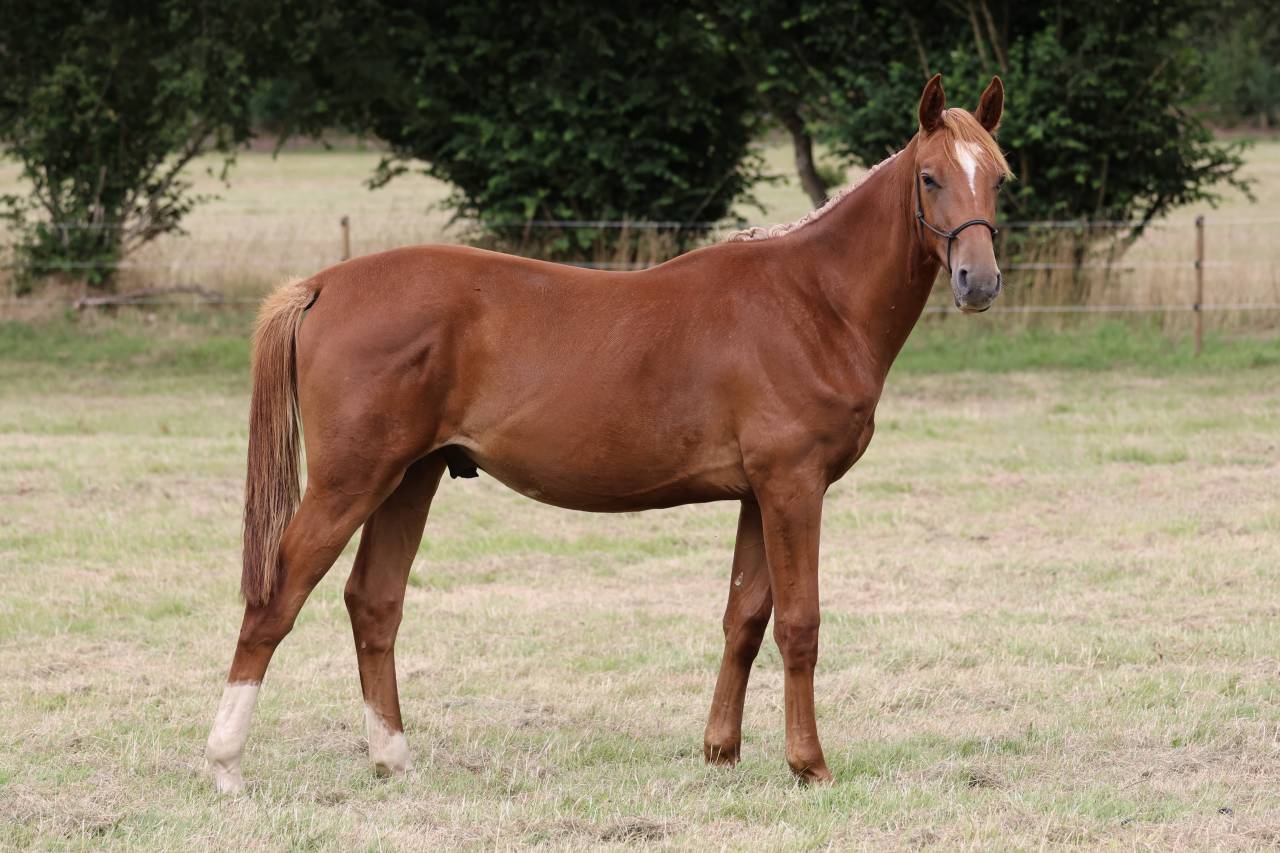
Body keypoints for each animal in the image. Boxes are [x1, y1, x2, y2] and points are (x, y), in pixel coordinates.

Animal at [205, 73, 1010, 791]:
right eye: (931, 178)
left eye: (999, 178)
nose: (978, 282)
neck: (811, 302)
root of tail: (323, 285)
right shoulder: (793, 486)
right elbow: (798, 624)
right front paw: (809, 765)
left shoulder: (758, 495)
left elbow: (745, 618)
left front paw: (721, 751)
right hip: (352, 480)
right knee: (275, 599)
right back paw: (226, 765)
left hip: (411, 476)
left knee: (373, 602)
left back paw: (392, 760)